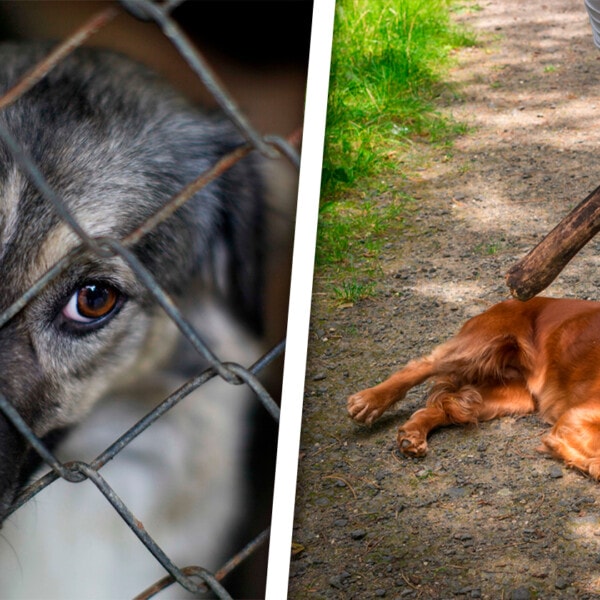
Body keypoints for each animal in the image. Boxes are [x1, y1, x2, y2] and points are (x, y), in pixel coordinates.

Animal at [346, 296, 600, 478]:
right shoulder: (575, 416)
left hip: (514, 396)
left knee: (445, 406)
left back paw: (413, 434)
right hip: (482, 343)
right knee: (423, 365)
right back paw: (368, 402)